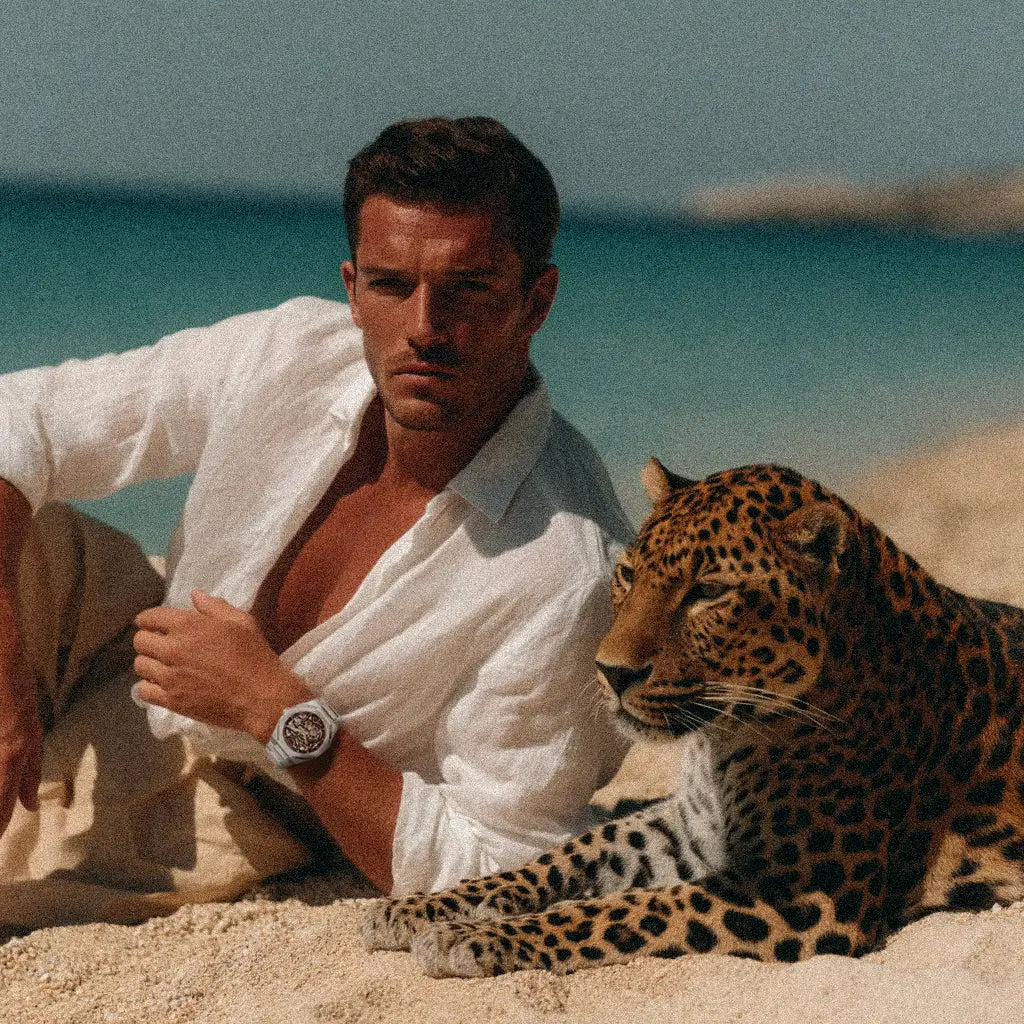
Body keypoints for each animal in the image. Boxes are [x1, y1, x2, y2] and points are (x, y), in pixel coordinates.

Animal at [362, 460, 1024, 976]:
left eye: (707, 592)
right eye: (629, 573)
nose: (611, 672)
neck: (722, 739)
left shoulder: (807, 894)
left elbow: (627, 909)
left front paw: (473, 936)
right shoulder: (686, 824)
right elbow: (572, 851)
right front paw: (421, 908)